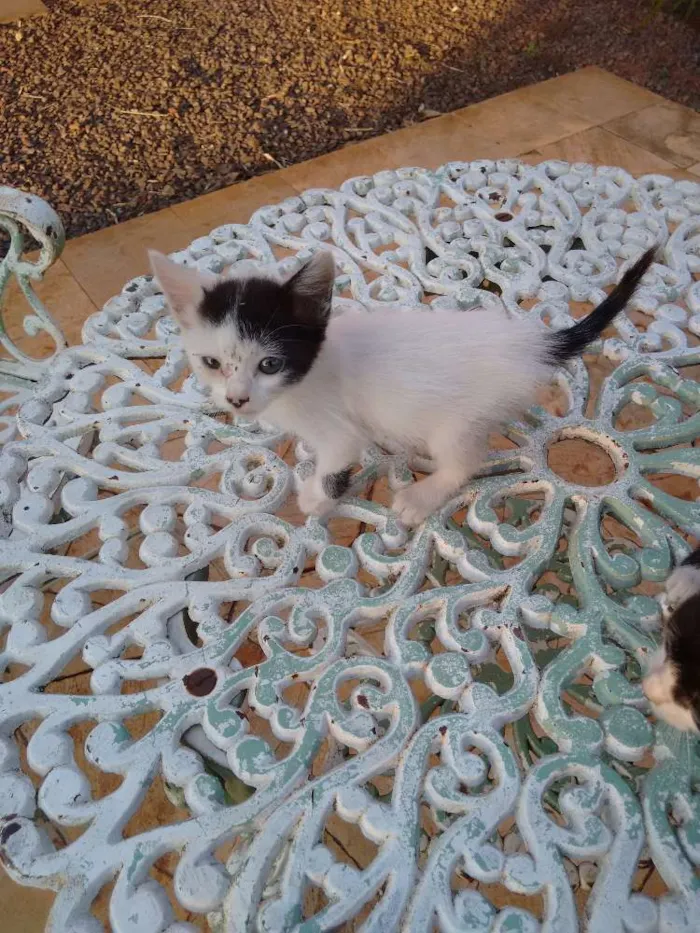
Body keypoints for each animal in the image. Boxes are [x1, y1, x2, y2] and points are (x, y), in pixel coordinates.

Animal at [149, 246, 656, 524]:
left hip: (458, 419)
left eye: (270, 364)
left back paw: (423, 495)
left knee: (463, 461)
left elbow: (336, 462)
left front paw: (315, 495)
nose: (237, 399)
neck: (309, 375)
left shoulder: (339, 429)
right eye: (212, 363)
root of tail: (526, 345)